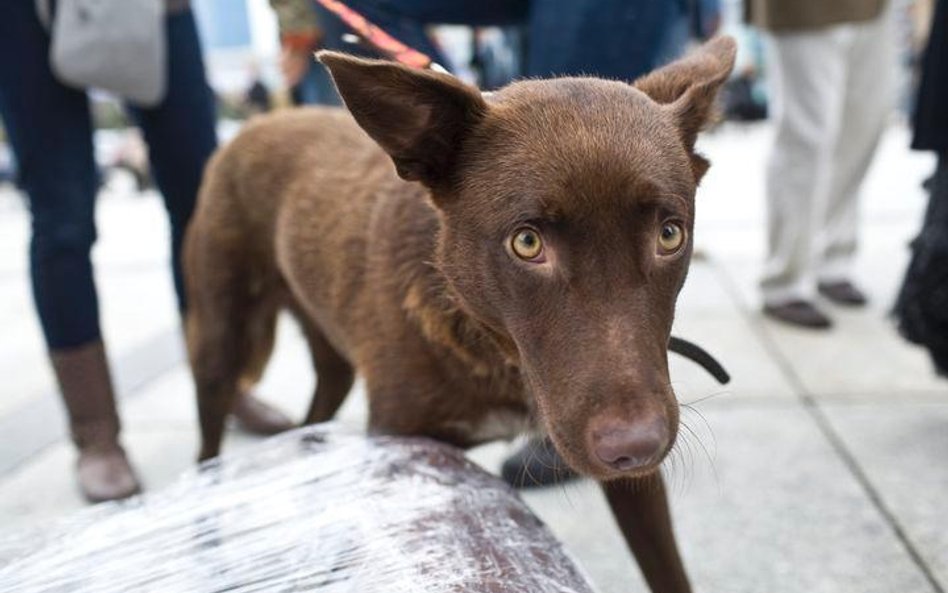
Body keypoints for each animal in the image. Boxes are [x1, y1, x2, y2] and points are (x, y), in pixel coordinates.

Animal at [183, 37, 732, 592]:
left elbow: (668, 570)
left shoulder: (635, 462)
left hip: (331, 360)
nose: (635, 448)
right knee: (207, 449)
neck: (488, 343)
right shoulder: (401, 447)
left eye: (670, 234)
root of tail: (259, 121)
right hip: (220, 341)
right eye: (527, 243)